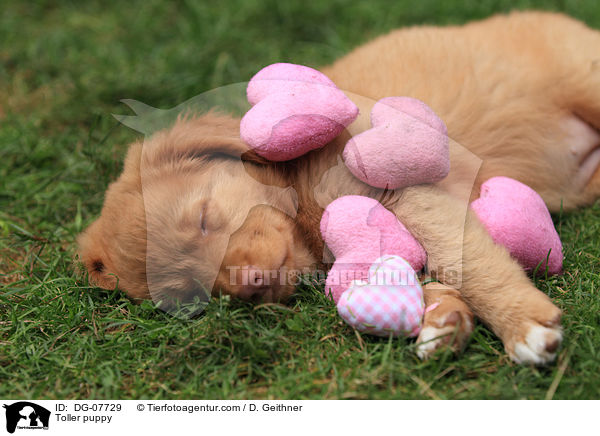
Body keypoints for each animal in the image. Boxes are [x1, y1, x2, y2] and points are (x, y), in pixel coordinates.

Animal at [76, 11, 600, 364]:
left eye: (205, 219)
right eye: (189, 296)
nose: (250, 286)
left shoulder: (406, 188)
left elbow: (467, 259)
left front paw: (522, 324)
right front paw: (444, 319)